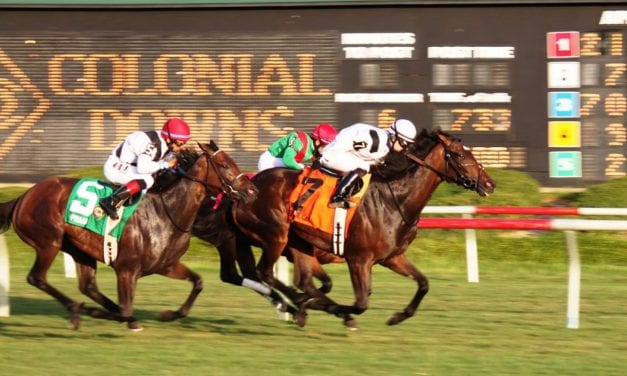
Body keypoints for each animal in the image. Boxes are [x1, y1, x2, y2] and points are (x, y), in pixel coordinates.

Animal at [0, 142, 258, 330]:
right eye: (224, 165)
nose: (252, 190)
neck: (165, 212)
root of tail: (23, 197)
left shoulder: (166, 265)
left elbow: (198, 282)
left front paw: (168, 314)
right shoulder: (127, 270)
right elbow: (125, 310)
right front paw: (98, 312)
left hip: (78, 249)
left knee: (88, 286)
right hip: (49, 242)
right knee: (37, 278)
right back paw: (76, 310)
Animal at [229, 130, 496, 328]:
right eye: (458, 155)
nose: (489, 184)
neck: (395, 200)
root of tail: (244, 188)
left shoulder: (392, 257)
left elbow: (423, 284)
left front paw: (397, 316)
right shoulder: (358, 259)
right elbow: (361, 304)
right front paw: (337, 311)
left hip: (299, 243)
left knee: (301, 280)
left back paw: (302, 304)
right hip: (276, 236)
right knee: (265, 273)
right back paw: (300, 306)